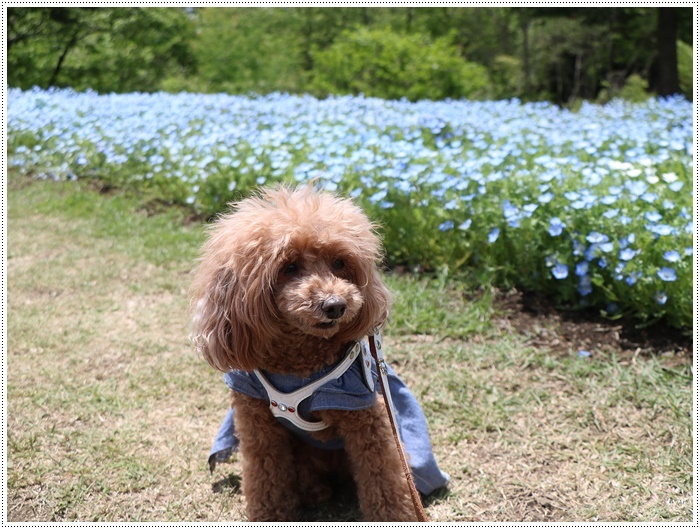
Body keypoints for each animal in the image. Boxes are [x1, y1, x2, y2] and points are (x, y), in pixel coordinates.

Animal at [190, 185, 422, 520]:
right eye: (289, 267)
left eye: (339, 263)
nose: (335, 305)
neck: (298, 363)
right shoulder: (256, 421)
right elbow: (266, 476)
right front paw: (270, 515)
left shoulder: (365, 418)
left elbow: (383, 478)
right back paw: (314, 492)